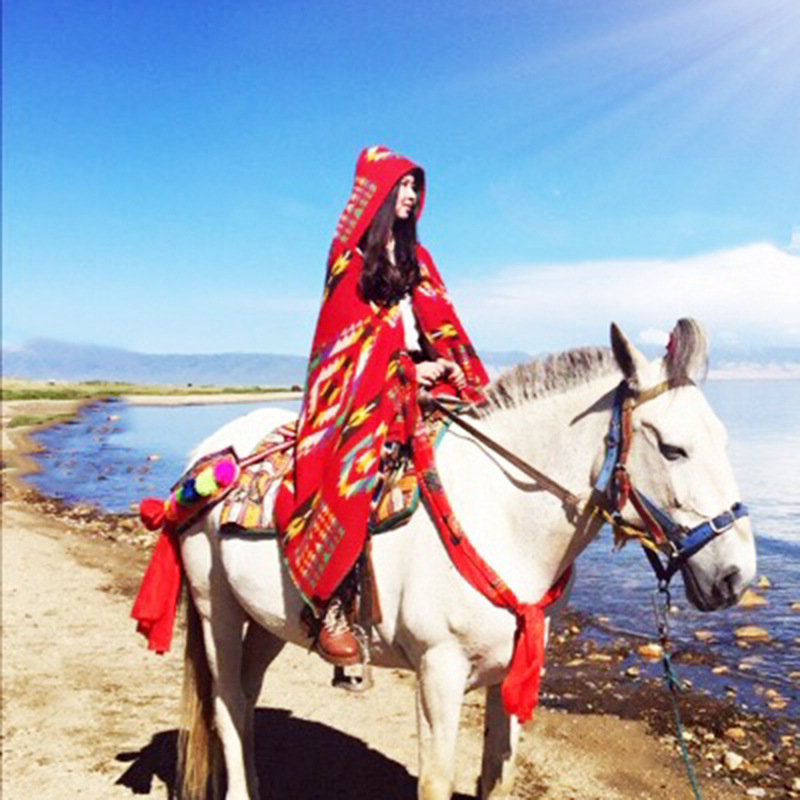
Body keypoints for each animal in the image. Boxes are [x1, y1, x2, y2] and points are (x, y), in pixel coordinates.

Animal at [175, 322, 756, 796]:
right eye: (674, 449)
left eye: (725, 440)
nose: (735, 575)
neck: (503, 517)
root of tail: (207, 454)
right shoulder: (439, 671)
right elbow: (435, 781)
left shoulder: (513, 671)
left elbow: (498, 777)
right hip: (214, 608)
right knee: (227, 705)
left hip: (268, 621)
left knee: (248, 698)